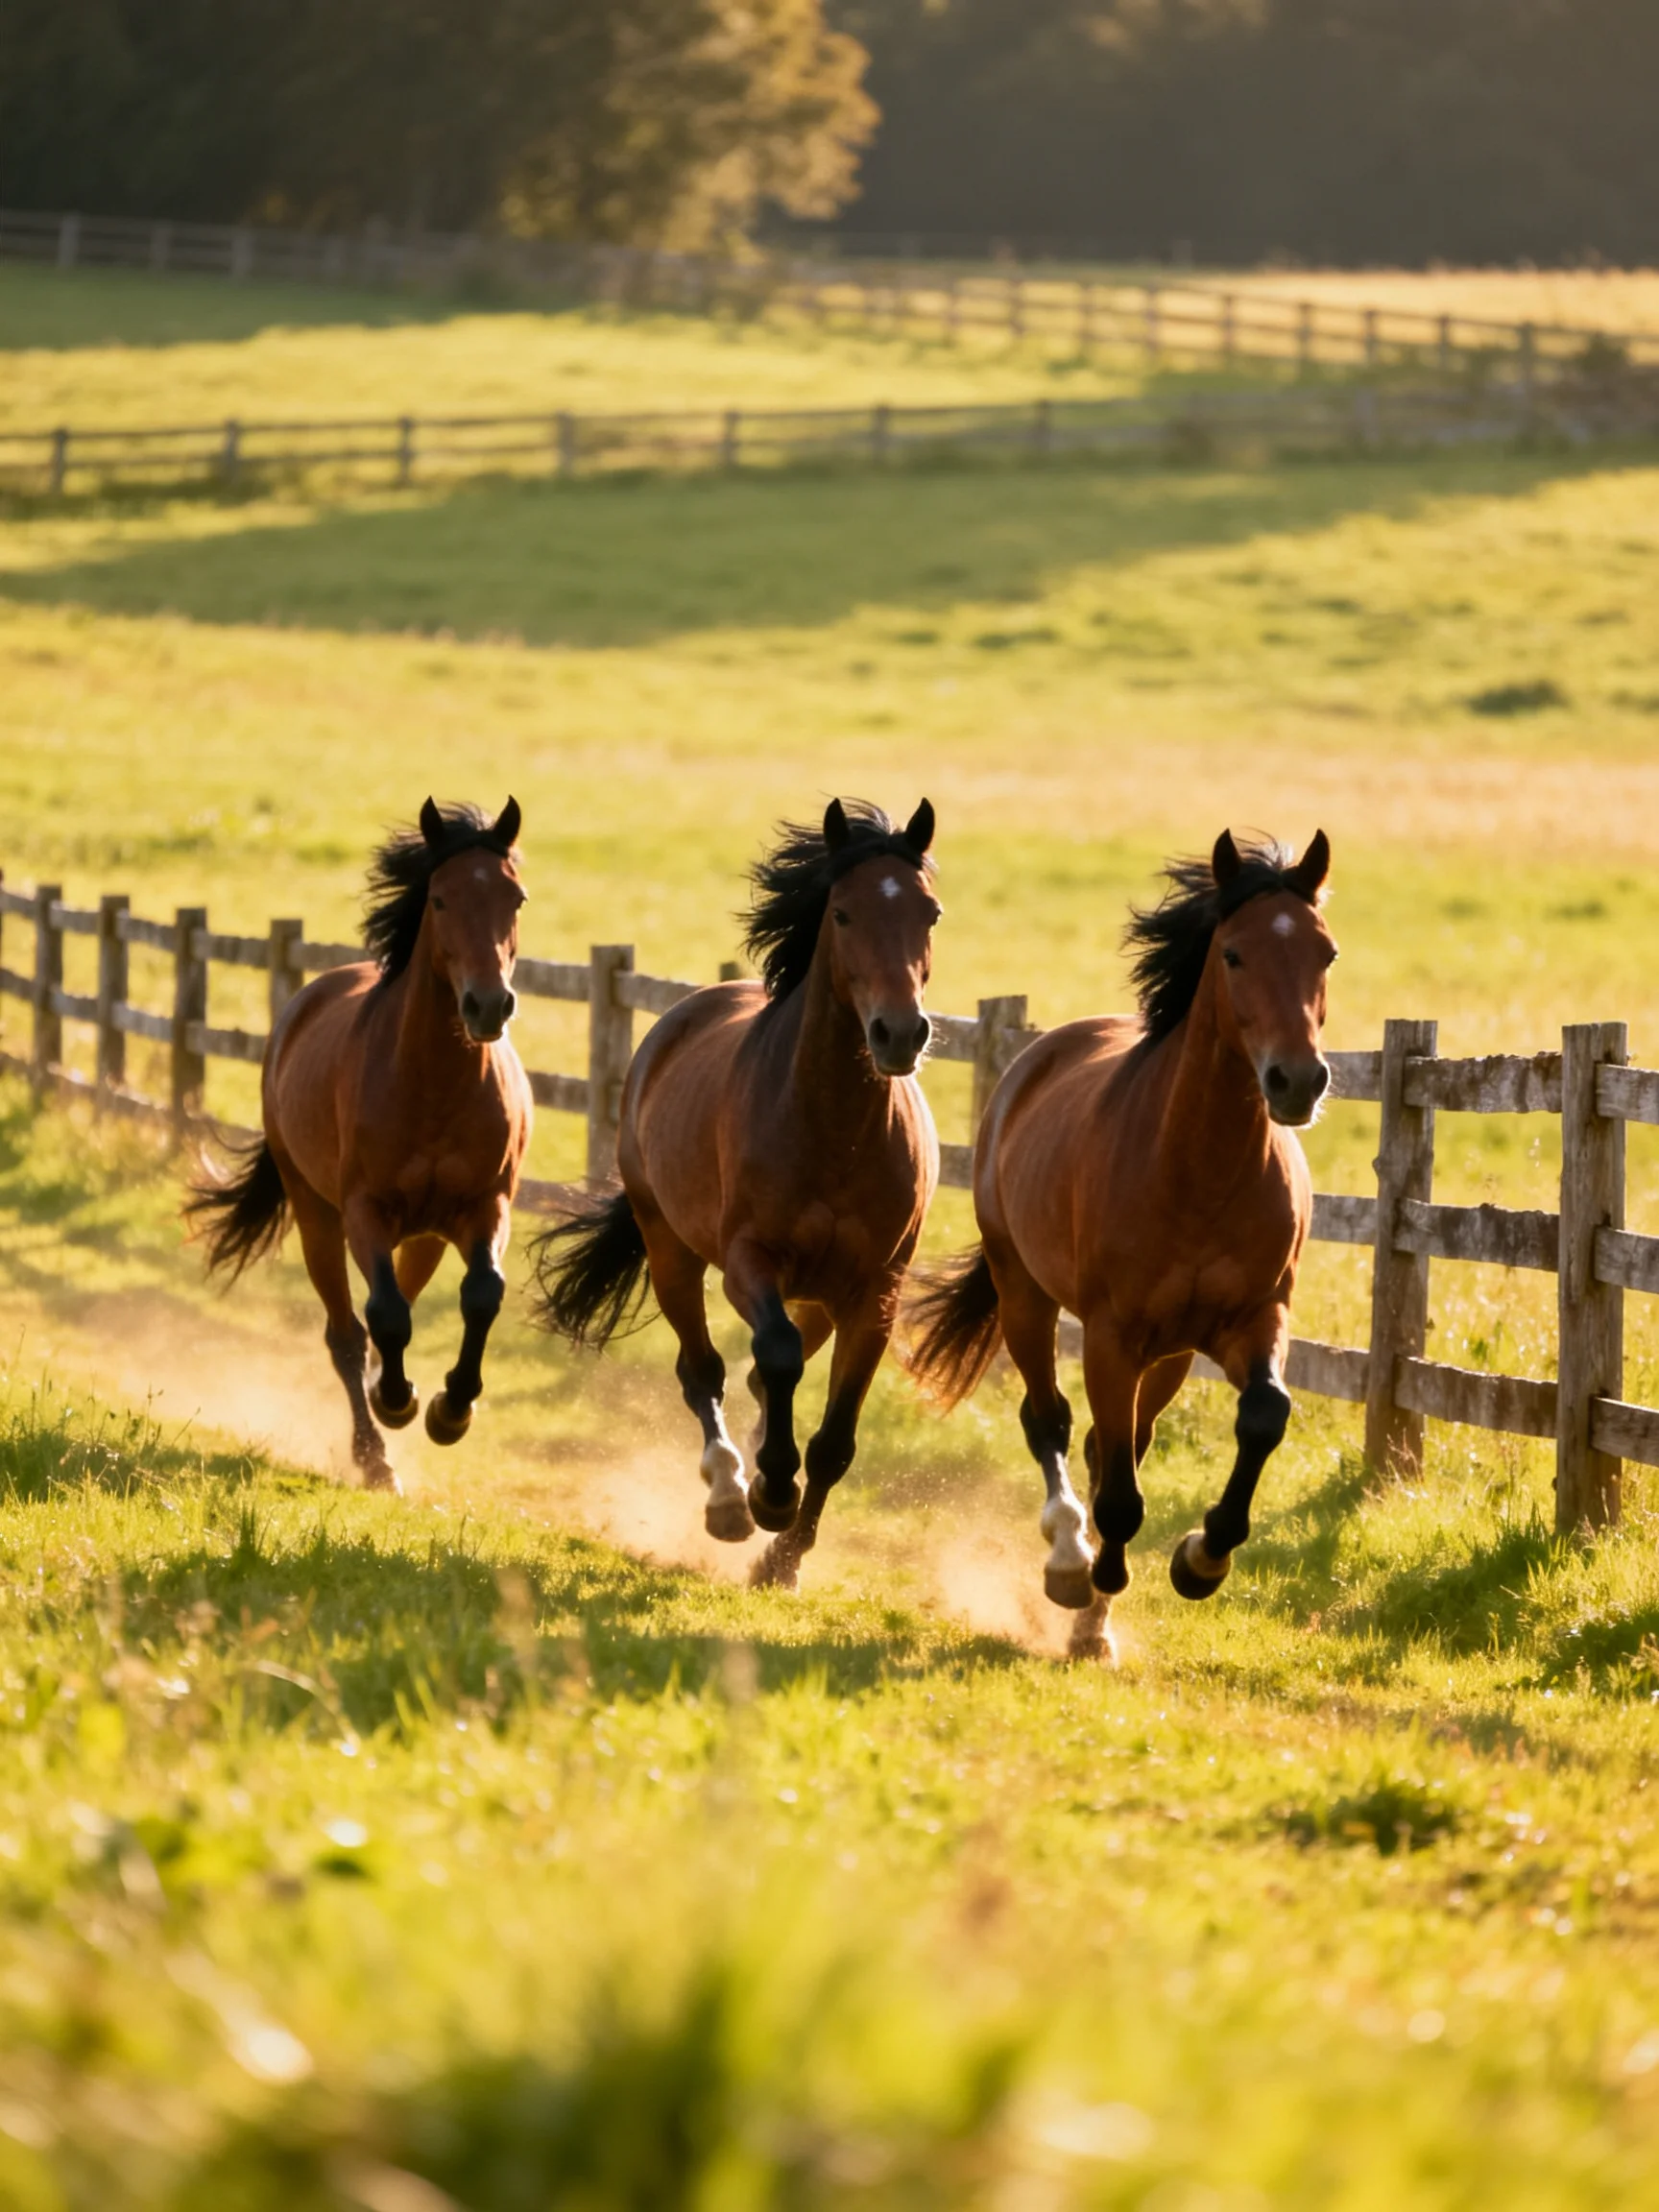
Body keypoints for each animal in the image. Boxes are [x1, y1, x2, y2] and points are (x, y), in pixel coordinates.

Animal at [187, 798, 533, 1491]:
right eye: (441, 899)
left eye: (516, 897)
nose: (488, 1006)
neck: (433, 1086)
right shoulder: (363, 1212)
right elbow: (386, 1315)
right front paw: (398, 1405)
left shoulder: (486, 1207)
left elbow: (482, 1295)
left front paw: (451, 1411)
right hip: (316, 1216)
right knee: (347, 1333)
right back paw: (374, 1450)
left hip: (427, 1235)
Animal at [530, 798, 941, 1588]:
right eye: (842, 913)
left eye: (930, 912)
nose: (900, 1034)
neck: (835, 1131)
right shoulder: (751, 1264)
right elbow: (773, 1356)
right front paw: (770, 1494)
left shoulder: (874, 1294)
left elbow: (835, 1439)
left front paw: (783, 1560)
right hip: (671, 1253)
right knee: (705, 1372)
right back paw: (727, 1495)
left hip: (817, 1297)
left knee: (755, 1377)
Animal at [907, 829, 1335, 1652]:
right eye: (1234, 954)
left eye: (1325, 952)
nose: (1297, 1081)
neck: (1200, 1171)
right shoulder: (1112, 1335)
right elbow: (1117, 1493)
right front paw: (1096, 1577)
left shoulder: (1255, 1317)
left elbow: (1261, 1416)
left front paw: (1201, 1559)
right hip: (1025, 1296)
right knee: (1050, 1421)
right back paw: (1071, 1566)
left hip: (1169, 1355)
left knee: (1119, 1442)